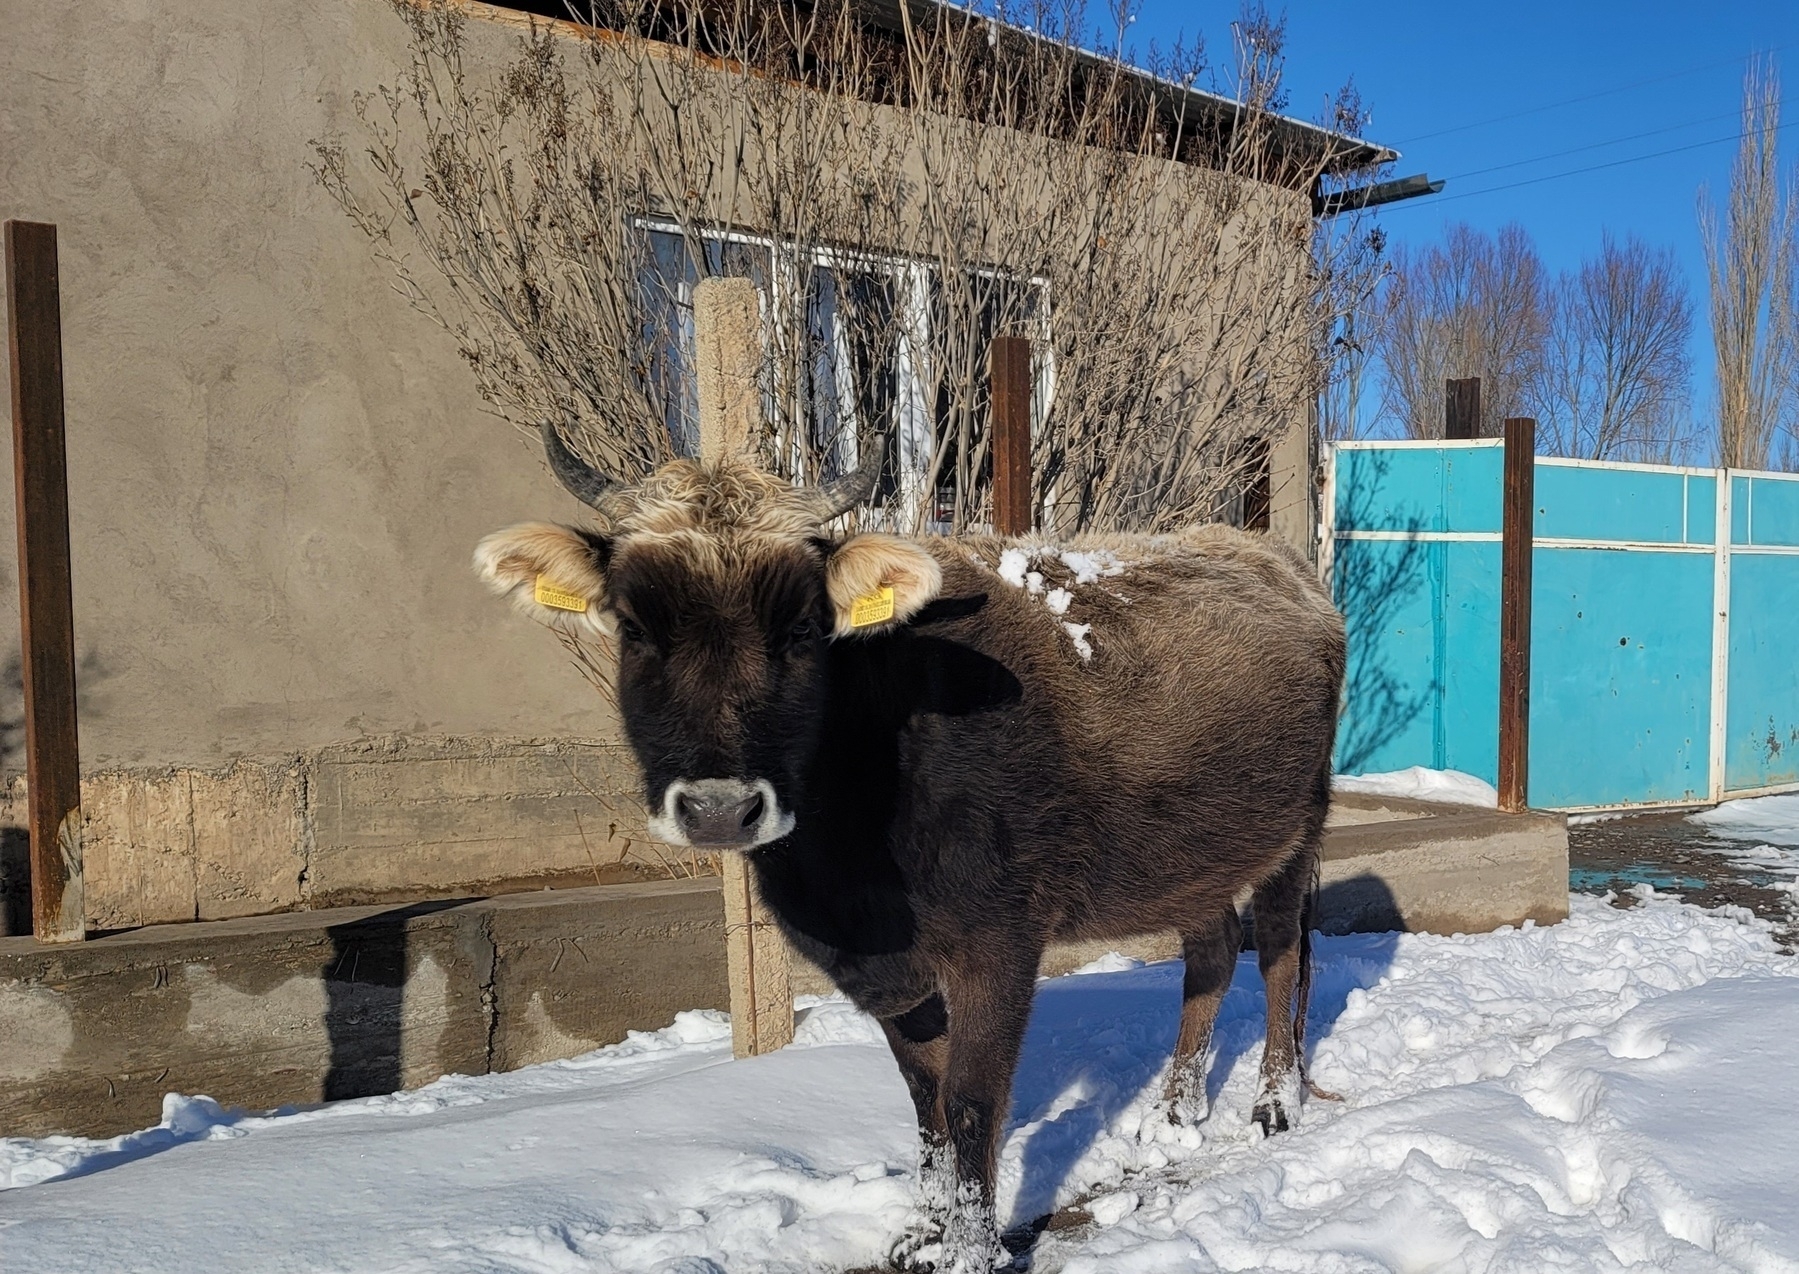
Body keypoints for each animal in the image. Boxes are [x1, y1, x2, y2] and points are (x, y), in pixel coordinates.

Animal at [471, 430, 1345, 1274]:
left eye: (801, 631)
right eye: (633, 628)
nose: (719, 808)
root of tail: (1266, 551)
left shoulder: (999, 941)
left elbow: (970, 1099)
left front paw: (967, 1252)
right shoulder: (883, 967)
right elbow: (924, 1100)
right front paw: (921, 1234)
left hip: (1296, 825)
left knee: (1280, 953)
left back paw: (1274, 1101)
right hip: (1192, 856)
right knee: (1209, 953)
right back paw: (1171, 1115)